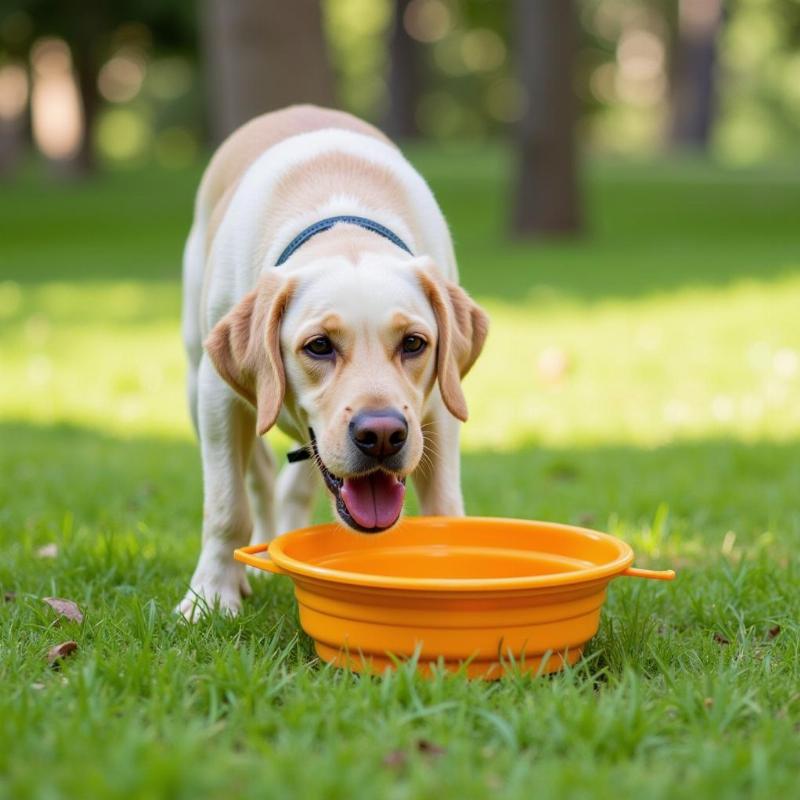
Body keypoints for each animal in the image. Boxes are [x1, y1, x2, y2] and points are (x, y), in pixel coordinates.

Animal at [180, 106, 488, 620]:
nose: (382, 435)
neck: (342, 223)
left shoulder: (441, 409)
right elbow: (226, 506)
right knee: (259, 477)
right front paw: (210, 596)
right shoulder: (217, 396)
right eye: (319, 346)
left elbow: (444, 507)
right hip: (198, 375)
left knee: (293, 485)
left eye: (414, 343)